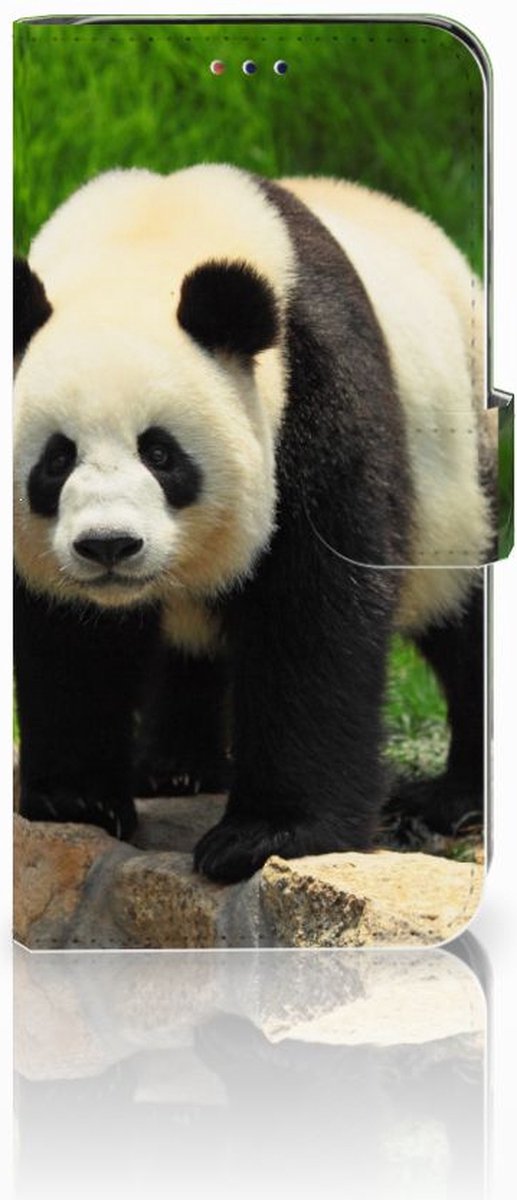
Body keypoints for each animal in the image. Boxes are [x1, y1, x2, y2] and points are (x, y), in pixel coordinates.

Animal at [13, 164, 495, 883]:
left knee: (462, 612)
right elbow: (67, 635)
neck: (145, 244)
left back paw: (452, 797)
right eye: (56, 458)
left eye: (160, 454)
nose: (109, 546)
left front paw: (267, 835)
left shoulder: (314, 389)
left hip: (459, 472)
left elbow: (313, 612)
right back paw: (176, 768)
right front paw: (78, 799)